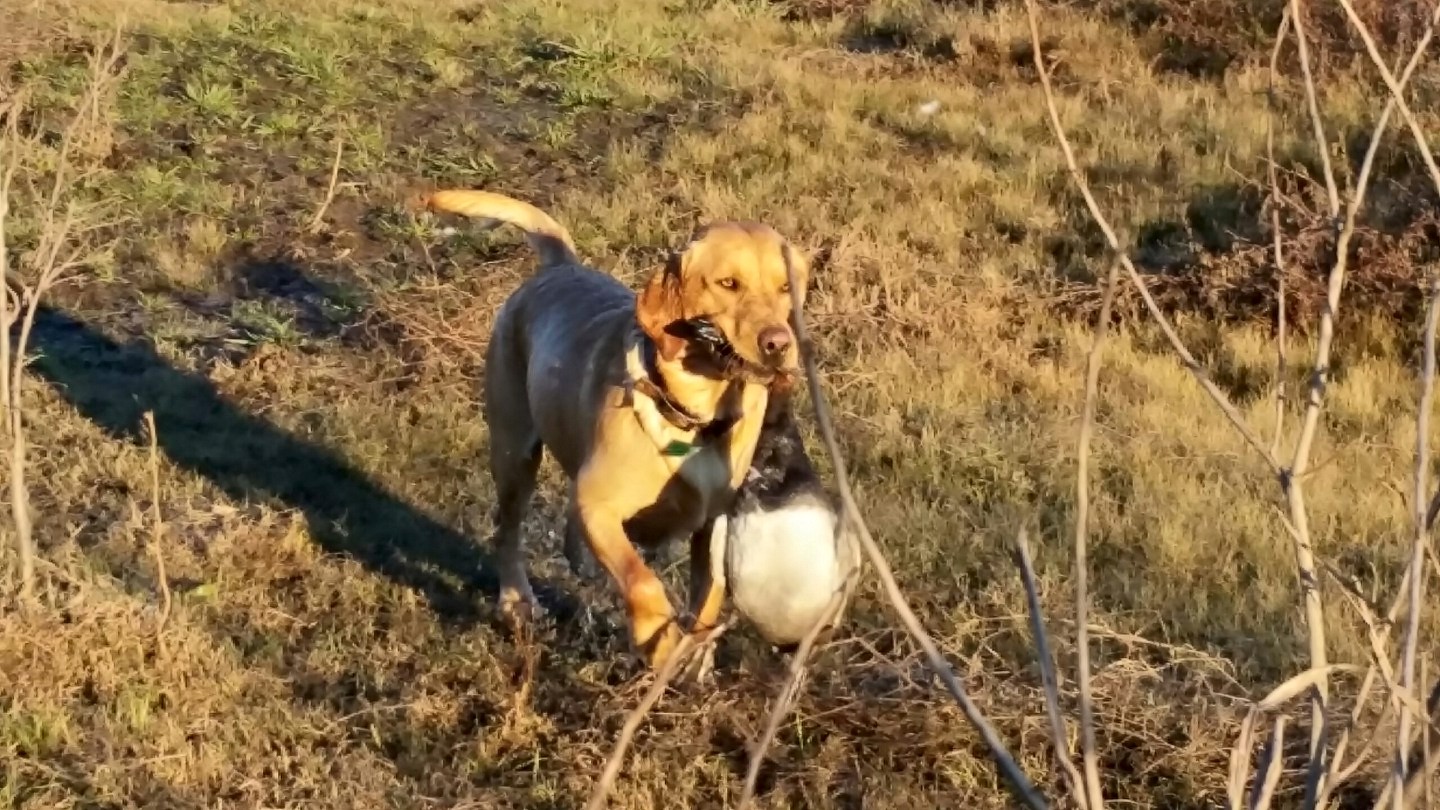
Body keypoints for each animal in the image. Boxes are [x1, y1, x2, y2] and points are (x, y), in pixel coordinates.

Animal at [423, 188, 812, 668]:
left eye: (784, 288)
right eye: (727, 284)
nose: (778, 344)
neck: (697, 417)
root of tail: (560, 264)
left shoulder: (714, 521)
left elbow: (710, 595)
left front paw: (693, 652)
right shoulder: (601, 504)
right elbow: (640, 579)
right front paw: (657, 638)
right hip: (514, 454)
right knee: (508, 531)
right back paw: (518, 601)